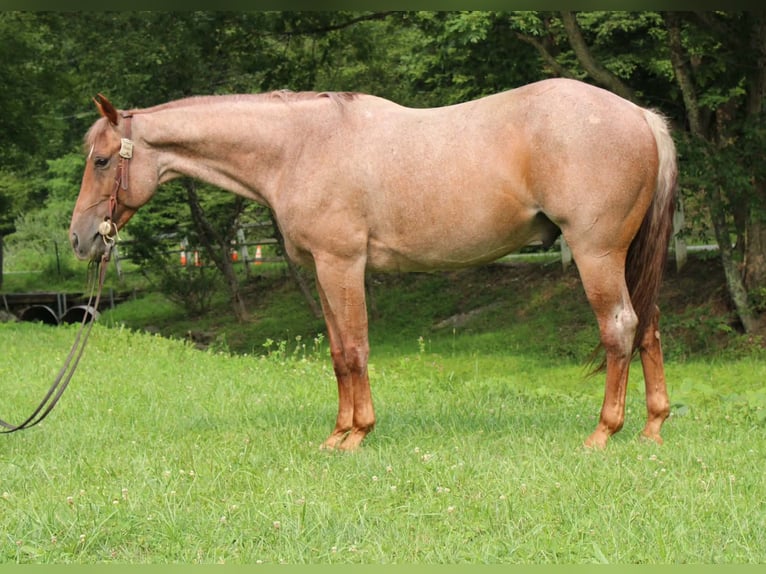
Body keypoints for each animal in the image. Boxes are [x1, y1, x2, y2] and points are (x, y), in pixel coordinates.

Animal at [69, 78, 677, 451]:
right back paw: (652, 428)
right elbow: (339, 354)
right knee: (647, 326)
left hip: (596, 253)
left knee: (619, 328)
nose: (80, 238)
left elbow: (356, 350)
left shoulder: (341, 264)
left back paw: (604, 432)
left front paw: (358, 434)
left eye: (101, 160)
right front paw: (338, 434)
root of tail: (640, 116)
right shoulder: (322, 269)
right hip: (626, 257)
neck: (300, 146)